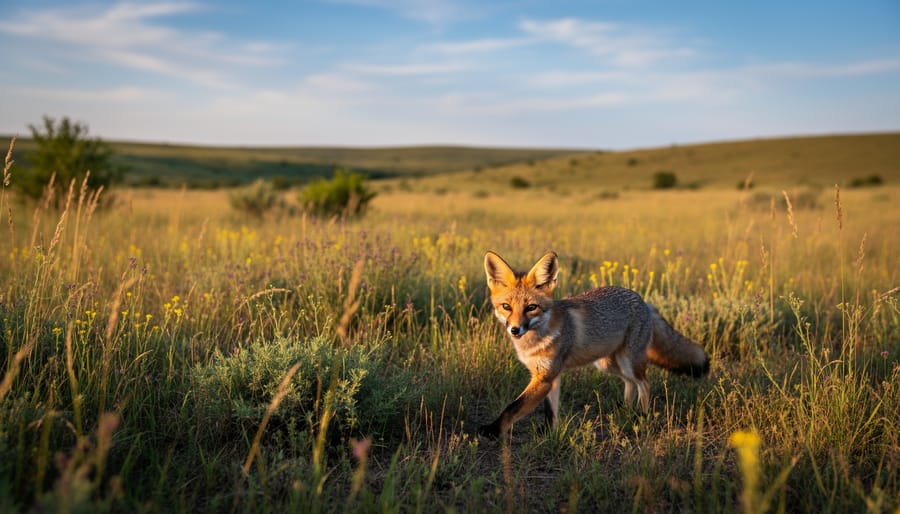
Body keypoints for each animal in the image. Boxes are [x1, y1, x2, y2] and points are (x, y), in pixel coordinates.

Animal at [479, 251, 709, 439]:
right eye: (506, 307)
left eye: (531, 308)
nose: (515, 330)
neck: (536, 338)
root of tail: (643, 300)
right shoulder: (550, 376)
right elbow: (550, 410)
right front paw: (548, 434)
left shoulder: (544, 377)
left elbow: (513, 407)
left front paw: (493, 430)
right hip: (607, 364)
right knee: (630, 383)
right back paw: (625, 410)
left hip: (629, 361)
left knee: (644, 383)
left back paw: (642, 416)